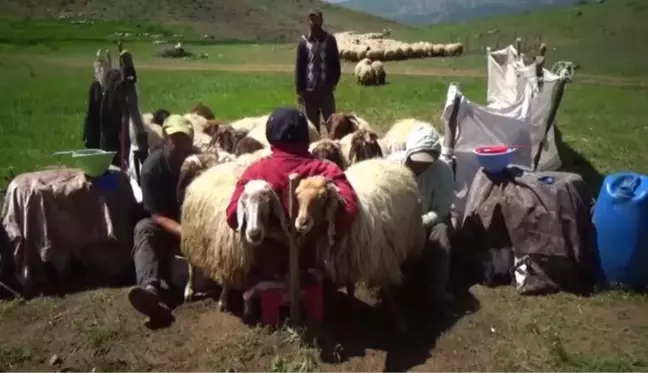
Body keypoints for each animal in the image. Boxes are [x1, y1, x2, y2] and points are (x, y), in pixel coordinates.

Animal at [182, 161, 292, 310]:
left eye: (268, 202)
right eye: (243, 203)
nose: (254, 234)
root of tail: (209, 170)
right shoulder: (229, 255)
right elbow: (228, 279)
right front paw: (223, 301)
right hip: (191, 237)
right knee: (191, 266)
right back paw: (189, 289)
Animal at [292, 158, 426, 330]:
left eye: (322, 197)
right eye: (297, 195)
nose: (302, 223)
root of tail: (383, 160)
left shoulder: (381, 258)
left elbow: (388, 291)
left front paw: (399, 320)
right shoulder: (347, 261)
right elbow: (350, 289)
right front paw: (354, 317)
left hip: (413, 234)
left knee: (411, 259)